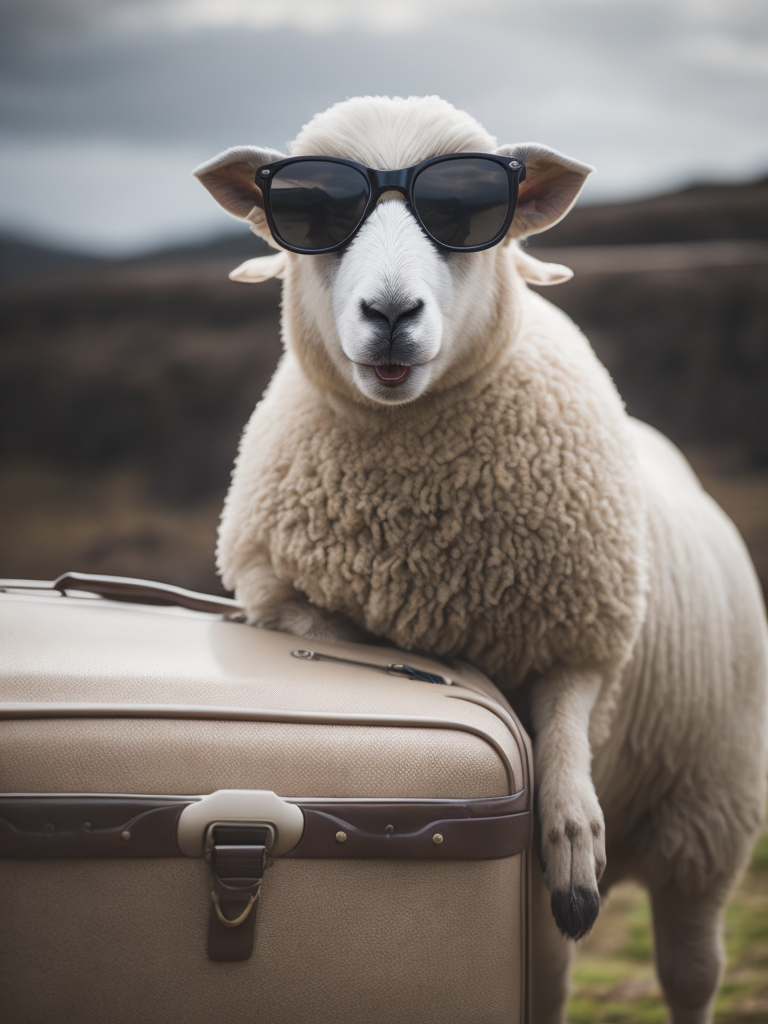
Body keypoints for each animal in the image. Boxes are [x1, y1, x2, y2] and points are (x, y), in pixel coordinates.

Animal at [195, 95, 768, 1024]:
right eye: (313, 220)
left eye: (463, 216)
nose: (392, 312)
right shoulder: (282, 598)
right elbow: (336, 636)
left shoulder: (585, 634)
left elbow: (565, 732)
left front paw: (572, 837)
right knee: (551, 974)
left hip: (708, 812)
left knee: (690, 968)